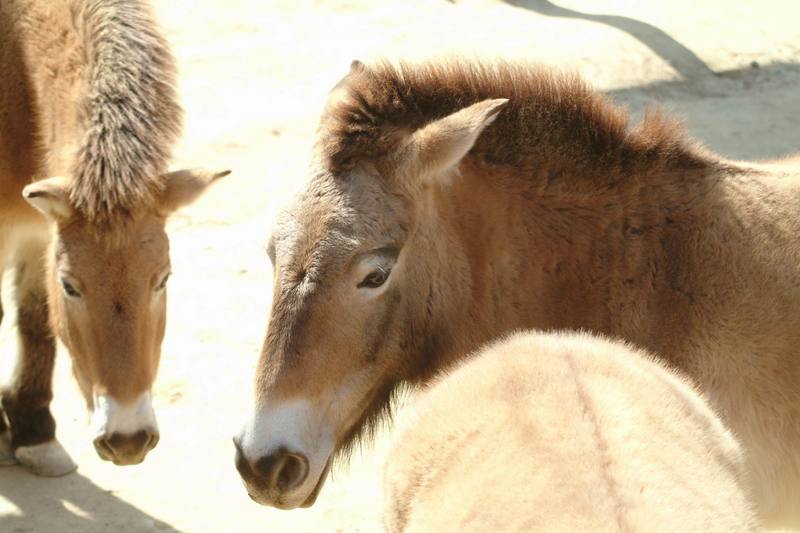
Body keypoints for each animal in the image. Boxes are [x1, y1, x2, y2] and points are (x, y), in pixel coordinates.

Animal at [1, 0, 228, 474]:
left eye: (163, 279)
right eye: (71, 287)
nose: (128, 440)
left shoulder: (35, 229)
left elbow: (35, 316)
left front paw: (32, 428)